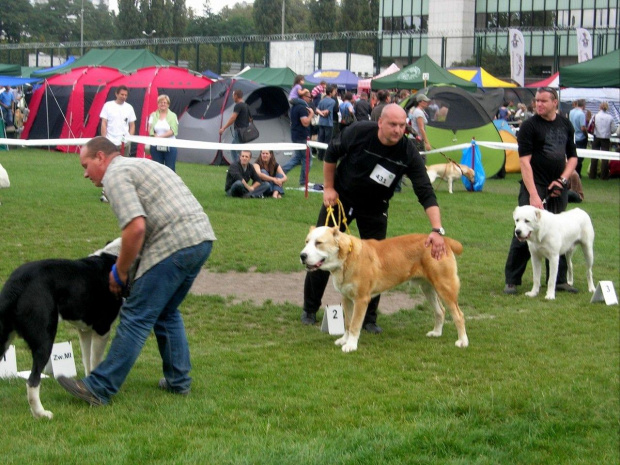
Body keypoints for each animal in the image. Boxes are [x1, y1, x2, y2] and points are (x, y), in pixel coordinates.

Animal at [0, 239, 122, 416]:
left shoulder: (85, 330)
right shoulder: (102, 329)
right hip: (45, 340)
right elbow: (95, 362)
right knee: (32, 380)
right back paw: (41, 414)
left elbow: (87, 361)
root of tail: (17, 284)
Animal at [300, 226, 470, 352]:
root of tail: (442, 240)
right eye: (306, 242)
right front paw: (344, 340)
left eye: (318, 243)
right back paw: (436, 333)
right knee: (440, 311)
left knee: (459, 315)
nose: (302, 255)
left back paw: (462, 341)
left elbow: (355, 324)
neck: (347, 257)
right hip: (428, 288)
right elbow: (347, 323)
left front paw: (351, 345)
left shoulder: (361, 299)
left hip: (444, 286)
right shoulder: (346, 298)